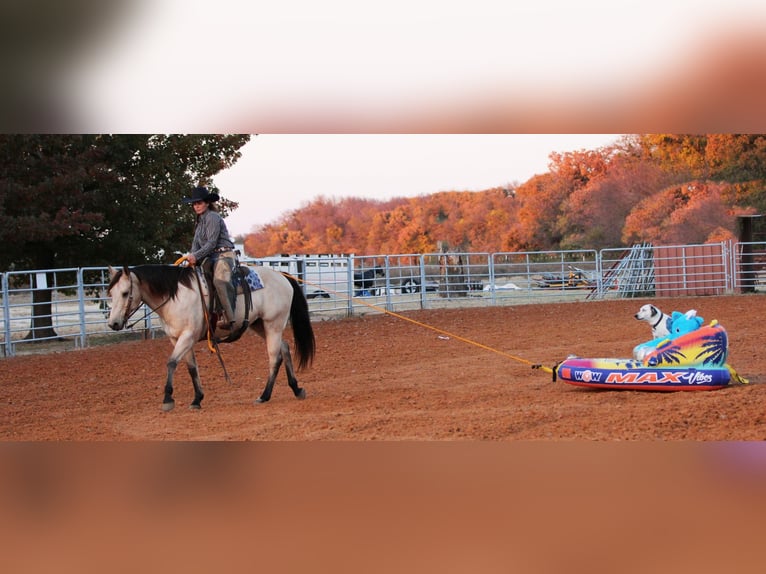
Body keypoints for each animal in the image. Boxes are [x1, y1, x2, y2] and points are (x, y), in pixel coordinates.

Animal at [105, 268, 316, 412]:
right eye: (111, 293)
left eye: (125, 293)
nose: (113, 323)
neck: (175, 298)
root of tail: (283, 276)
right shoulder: (177, 338)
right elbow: (191, 367)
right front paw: (197, 399)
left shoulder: (187, 335)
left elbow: (172, 362)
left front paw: (167, 399)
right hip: (260, 325)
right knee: (285, 348)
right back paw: (296, 389)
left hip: (273, 324)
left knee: (274, 357)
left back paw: (264, 396)